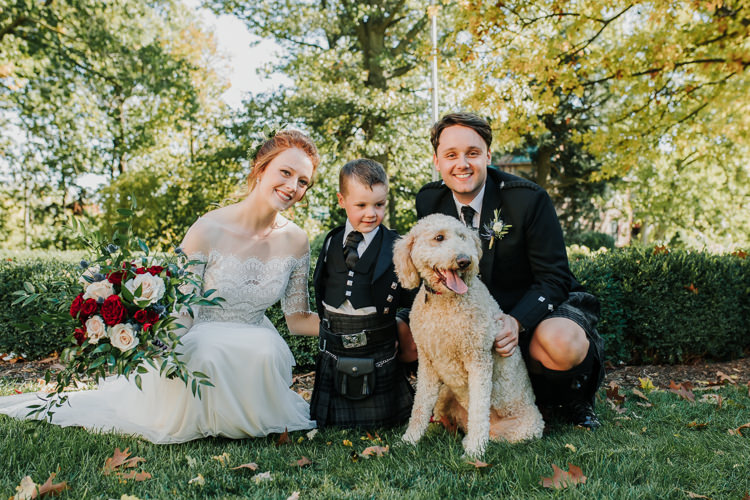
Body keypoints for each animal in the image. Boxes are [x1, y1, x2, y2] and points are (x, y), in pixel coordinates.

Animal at [394, 213, 548, 456]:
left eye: (463, 237)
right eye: (439, 237)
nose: (465, 260)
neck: (444, 303)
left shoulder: (479, 360)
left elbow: (479, 408)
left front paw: (475, 451)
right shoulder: (427, 363)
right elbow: (419, 406)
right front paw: (409, 440)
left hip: (525, 430)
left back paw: (475, 442)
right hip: (444, 394)